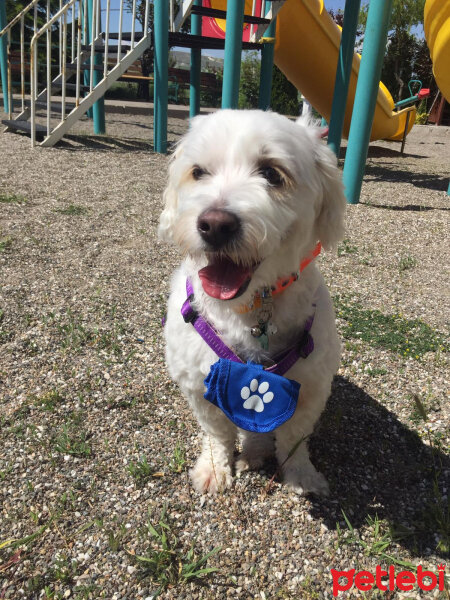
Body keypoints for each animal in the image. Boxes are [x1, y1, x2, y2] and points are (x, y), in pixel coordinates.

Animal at [160, 109, 346, 496]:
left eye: (272, 173)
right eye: (198, 172)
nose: (214, 225)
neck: (250, 307)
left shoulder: (311, 387)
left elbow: (294, 439)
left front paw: (302, 476)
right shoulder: (199, 383)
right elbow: (216, 434)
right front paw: (213, 470)